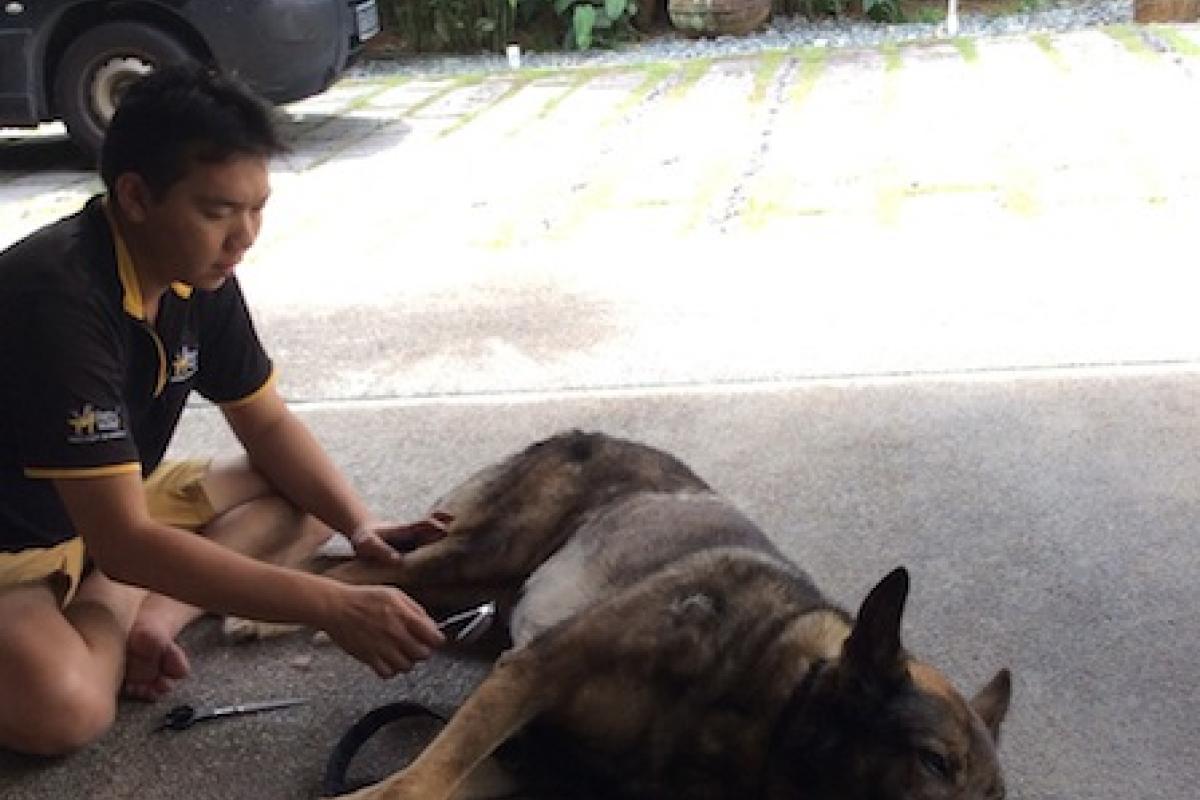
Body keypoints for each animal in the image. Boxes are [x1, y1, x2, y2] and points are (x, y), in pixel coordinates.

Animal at [293, 430, 1012, 799]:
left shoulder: (524, 757)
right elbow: (412, 784)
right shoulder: (532, 673)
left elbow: (412, 783)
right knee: (350, 574)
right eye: (935, 763)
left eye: (996, 798)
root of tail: (587, 432)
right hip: (479, 556)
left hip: (481, 586)